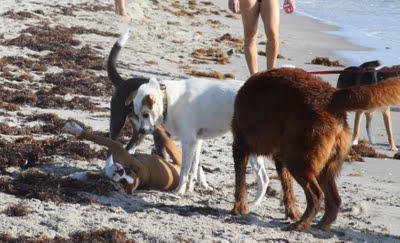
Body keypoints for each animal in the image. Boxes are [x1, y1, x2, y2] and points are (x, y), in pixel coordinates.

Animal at [230, 68, 400, 232]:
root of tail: (331, 96)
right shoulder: (280, 158)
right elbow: (287, 187)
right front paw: (292, 212)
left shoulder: (240, 146)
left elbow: (240, 183)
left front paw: (239, 209)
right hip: (322, 165)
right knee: (334, 199)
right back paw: (322, 224)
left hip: (298, 160)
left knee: (317, 196)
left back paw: (301, 225)